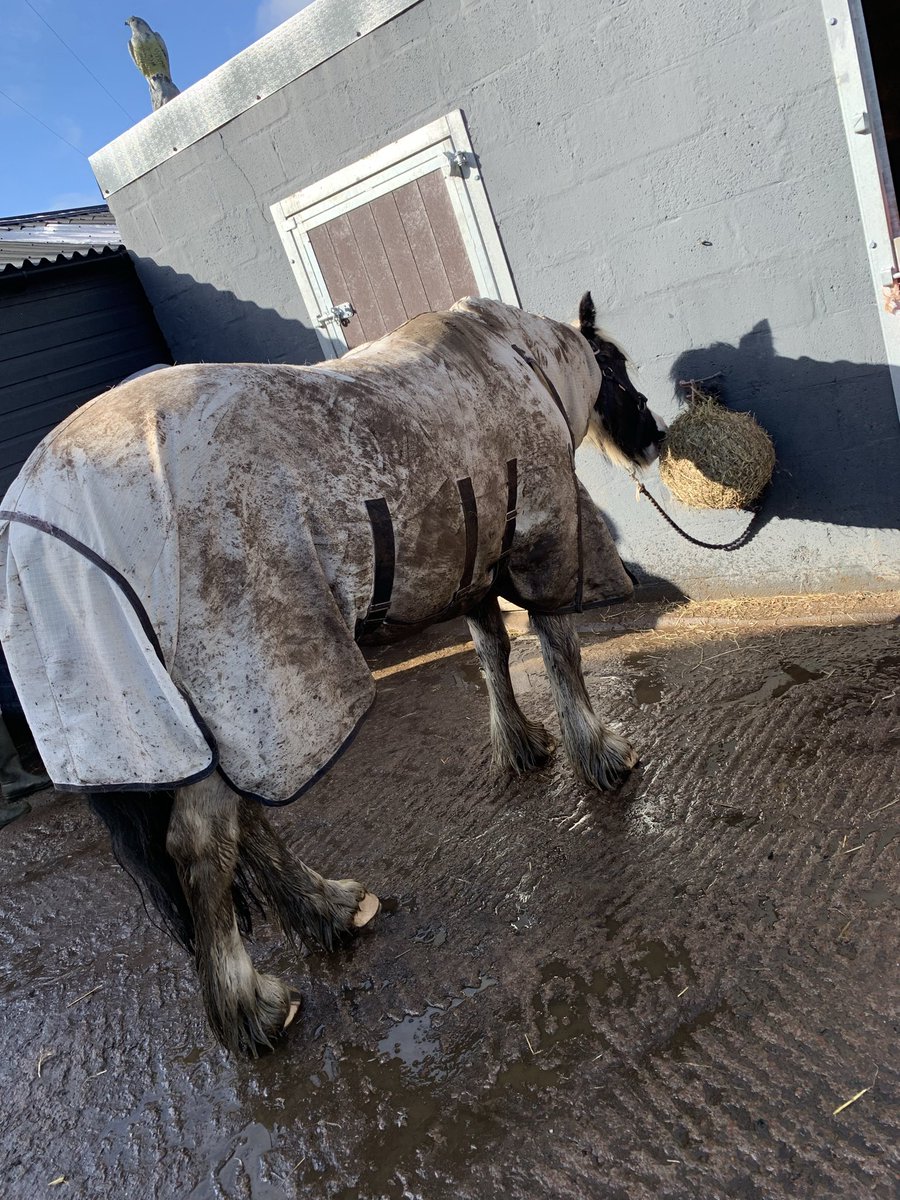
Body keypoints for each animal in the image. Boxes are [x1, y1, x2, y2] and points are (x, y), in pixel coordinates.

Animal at [0, 293, 665, 1054]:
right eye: (615, 366)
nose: (655, 437)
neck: (508, 357)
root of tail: (35, 526)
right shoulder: (540, 539)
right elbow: (558, 651)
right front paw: (604, 755)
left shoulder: (471, 556)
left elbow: (492, 650)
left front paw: (523, 747)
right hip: (245, 682)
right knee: (201, 851)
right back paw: (253, 1007)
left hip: (214, 718)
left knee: (246, 821)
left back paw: (329, 910)